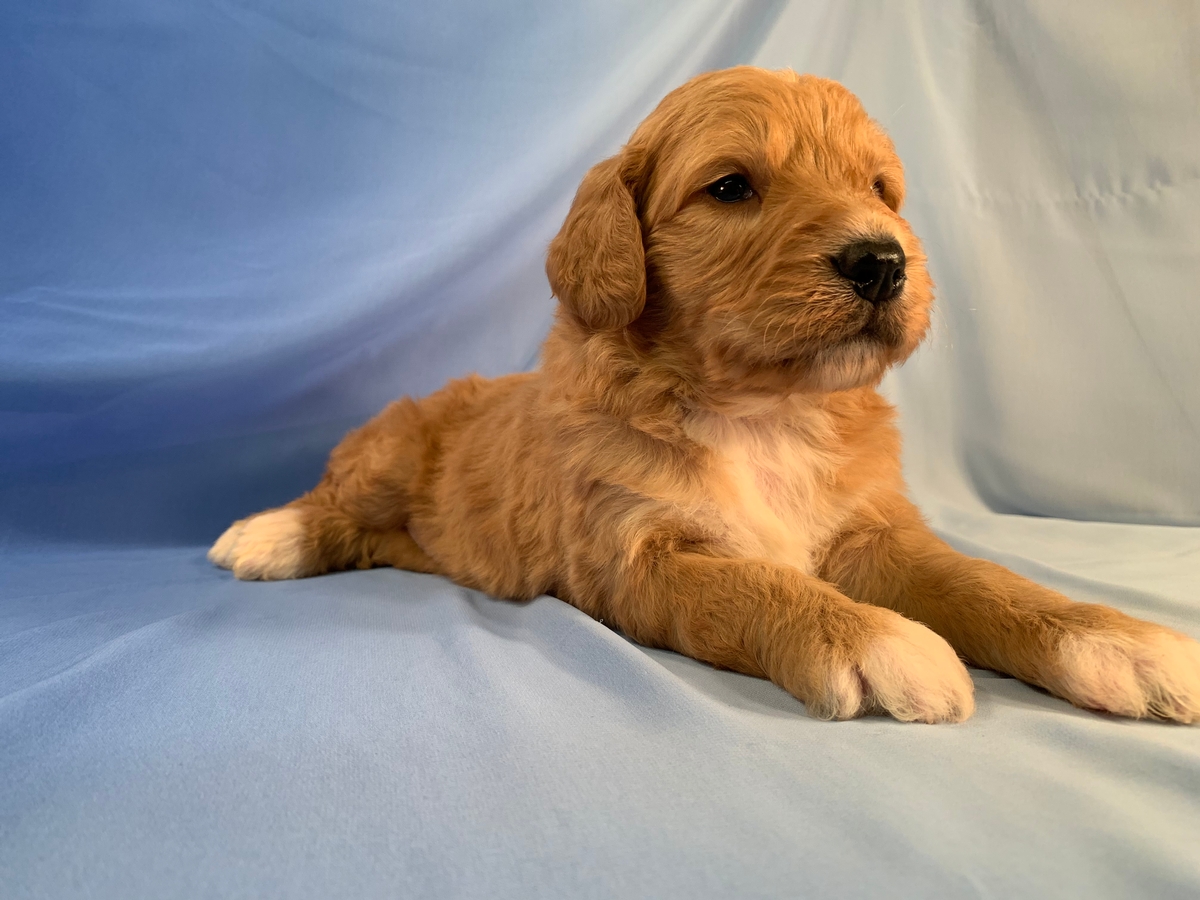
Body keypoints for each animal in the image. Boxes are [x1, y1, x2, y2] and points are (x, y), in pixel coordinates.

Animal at [211, 66, 1200, 724]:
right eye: (730, 187)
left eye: (880, 189)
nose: (884, 260)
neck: (764, 411)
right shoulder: (637, 558)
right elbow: (754, 588)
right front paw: (876, 641)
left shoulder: (872, 531)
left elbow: (982, 580)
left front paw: (1117, 639)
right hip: (389, 451)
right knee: (335, 505)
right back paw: (266, 537)